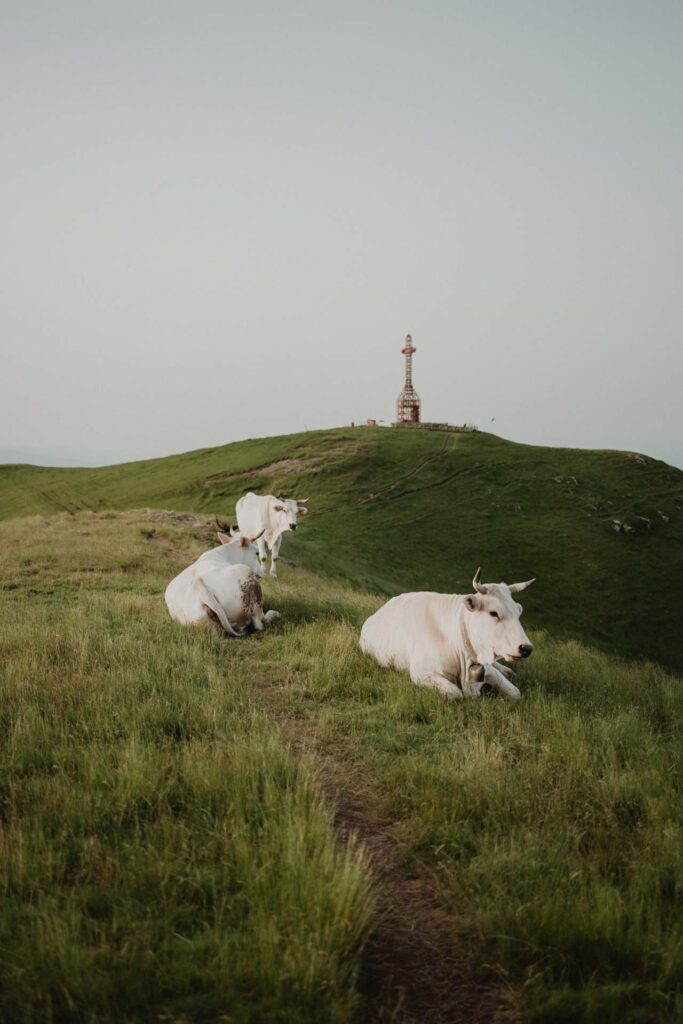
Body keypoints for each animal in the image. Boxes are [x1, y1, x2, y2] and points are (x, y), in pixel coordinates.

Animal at [360, 565, 536, 700]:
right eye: (494, 613)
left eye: (518, 613)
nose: (526, 648)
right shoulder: (422, 673)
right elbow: (456, 694)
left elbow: (515, 692)